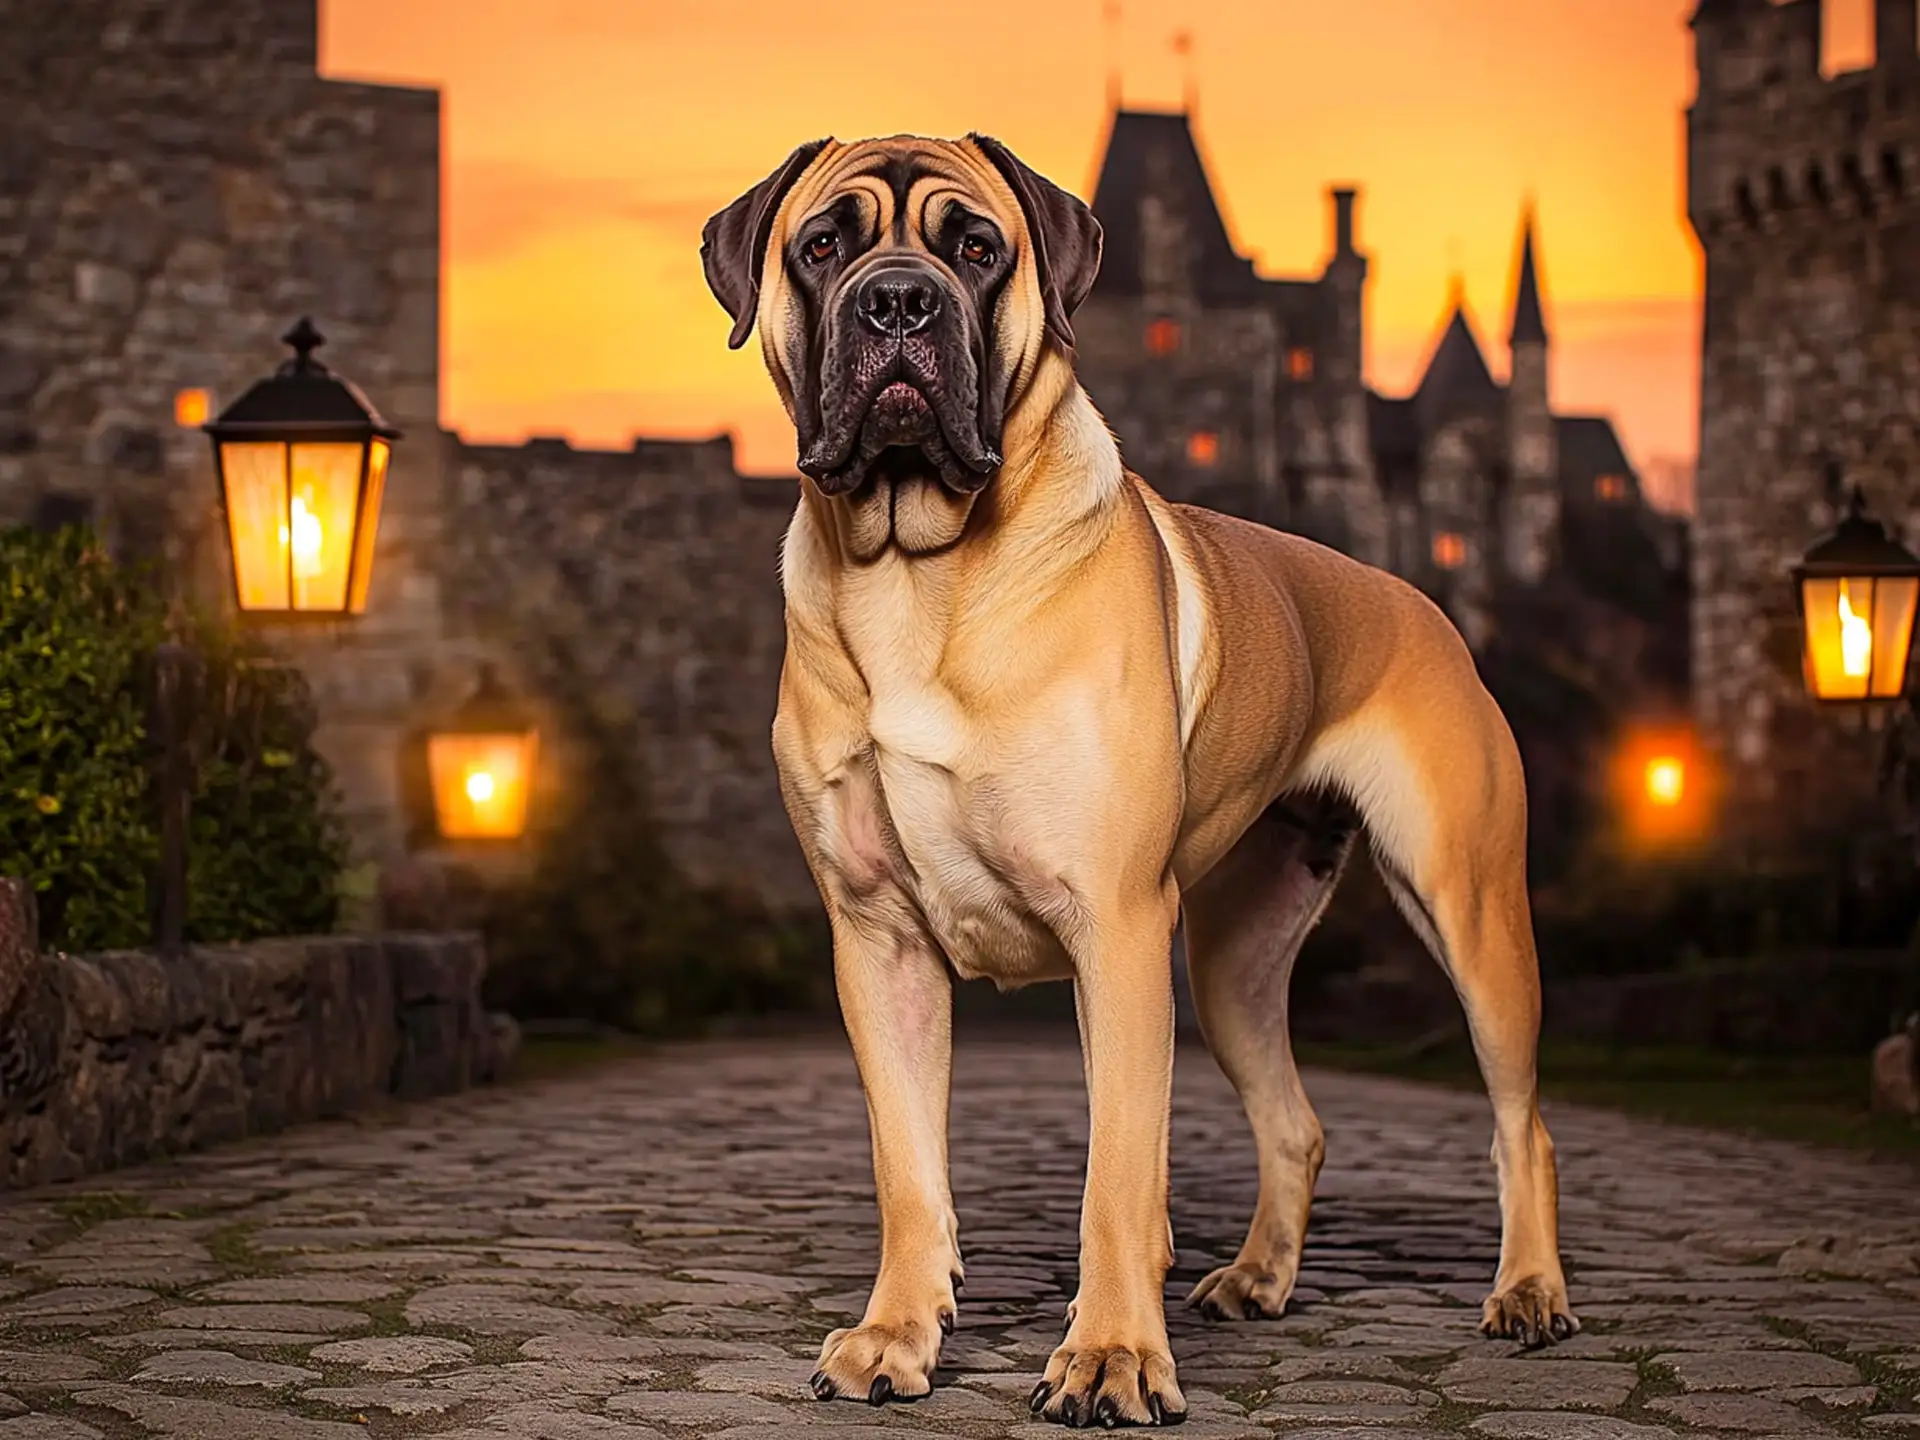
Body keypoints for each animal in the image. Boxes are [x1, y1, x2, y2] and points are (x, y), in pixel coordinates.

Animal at [706, 126, 1574, 1436]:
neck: (916, 575)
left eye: (977, 247)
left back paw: (1528, 1292)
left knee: (1523, 1122)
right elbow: (908, 1170)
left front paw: (1111, 1358)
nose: (899, 300)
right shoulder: (880, 944)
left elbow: (1116, 1177)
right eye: (820, 247)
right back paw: (1260, 1279)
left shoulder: (1114, 932)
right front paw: (898, 1337)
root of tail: (1418, 598)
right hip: (1231, 964)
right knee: (1297, 1124)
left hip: (1467, 915)